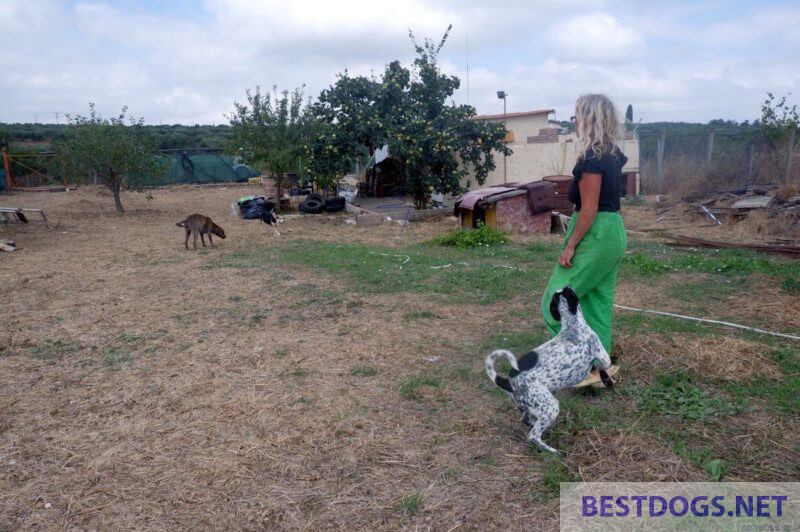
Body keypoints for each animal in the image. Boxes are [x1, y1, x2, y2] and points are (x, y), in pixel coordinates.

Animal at [488, 286, 612, 454]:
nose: (569, 284)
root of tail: (508, 381)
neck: (572, 325)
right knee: (533, 435)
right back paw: (553, 452)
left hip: (534, 407)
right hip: (551, 407)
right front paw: (606, 380)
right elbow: (602, 367)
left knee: (527, 420)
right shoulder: (602, 355)